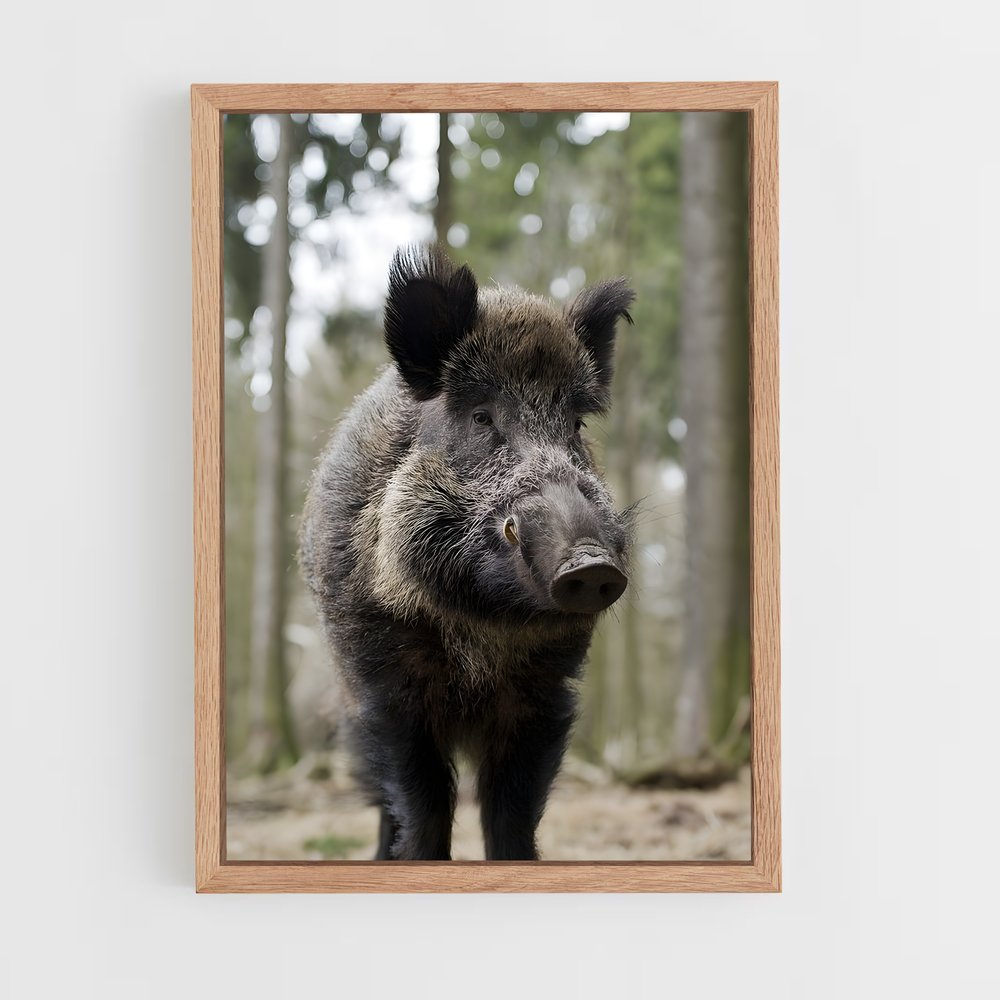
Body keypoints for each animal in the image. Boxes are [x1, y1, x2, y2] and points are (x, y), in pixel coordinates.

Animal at [299, 244, 635, 860]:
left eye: (575, 425)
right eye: (481, 417)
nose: (590, 562)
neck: (481, 631)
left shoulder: (545, 692)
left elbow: (513, 814)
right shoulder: (386, 688)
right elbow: (423, 804)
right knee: (381, 804)